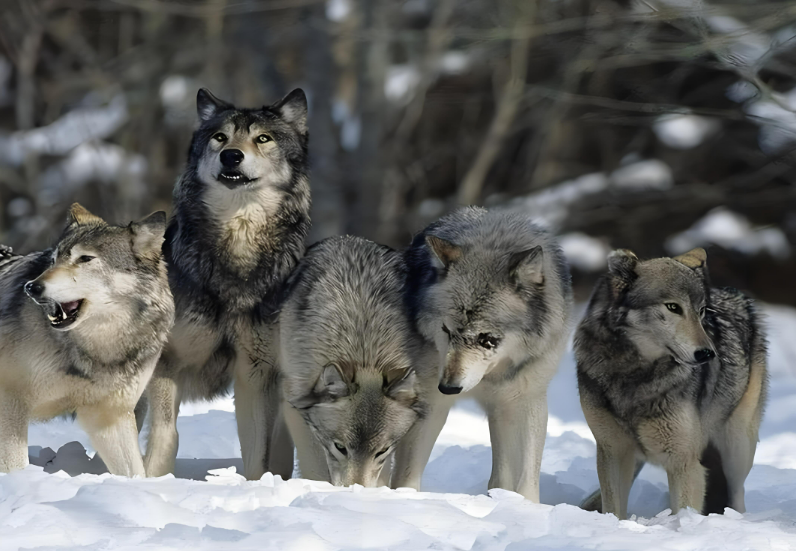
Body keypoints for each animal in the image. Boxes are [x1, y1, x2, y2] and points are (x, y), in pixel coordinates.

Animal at [0, 205, 174, 476]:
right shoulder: (10, 402)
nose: (31, 288)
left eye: (85, 259)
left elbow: (135, 472)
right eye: (54, 260)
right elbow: (16, 466)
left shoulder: (110, 417)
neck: (99, 348)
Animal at [141, 88, 310, 480]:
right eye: (220, 137)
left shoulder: (255, 371)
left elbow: (258, 451)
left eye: (262, 138)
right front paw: (154, 479)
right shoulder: (167, 364)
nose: (231, 155)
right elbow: (166, 435)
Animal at [276, 236, 432, 488]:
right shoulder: (295, 403)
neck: (363, 350)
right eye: (340, 448)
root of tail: (349, 238)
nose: (356, 490)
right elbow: (315, 468)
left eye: (381, 452)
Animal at [402, 206, 576, 500]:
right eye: (446, 331)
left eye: (487, 340)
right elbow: (406, 476)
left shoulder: (527, 400)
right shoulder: (430, 401)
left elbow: (527, 480)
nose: (448, 387)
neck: (490, 377)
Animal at [576, 248, 768, 520]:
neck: (635, 375)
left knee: (737, 494)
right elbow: (613, 510)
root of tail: (734, 293)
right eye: (673, 307)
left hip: (737, 446)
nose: (708, 354)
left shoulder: (684, 462)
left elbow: (685, 511)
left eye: (701, 311)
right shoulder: (612, 452)